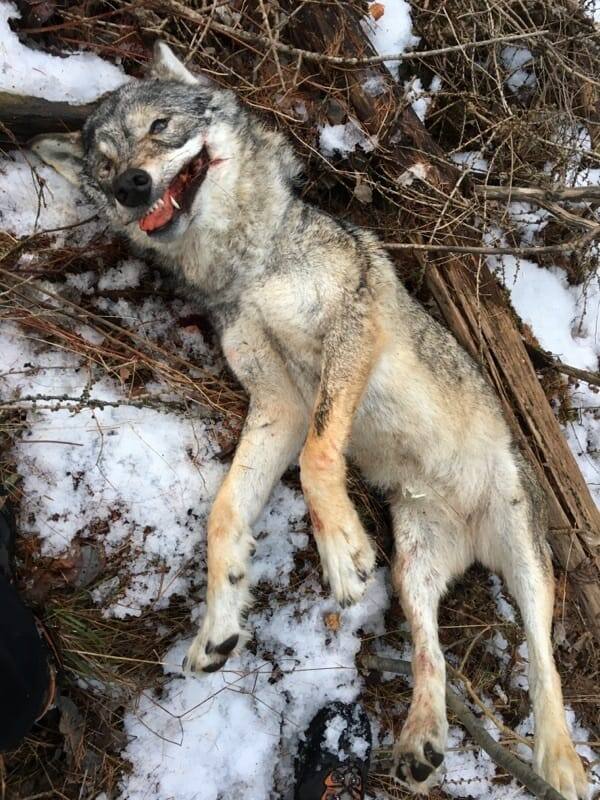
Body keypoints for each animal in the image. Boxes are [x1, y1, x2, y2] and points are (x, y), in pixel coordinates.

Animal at [31, 42, 588, 798]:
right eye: (106, 167)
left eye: (161, 128)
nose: (132, 188)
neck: (247, 267)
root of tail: (472, 536)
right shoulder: (280, 406)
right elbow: (226, 512)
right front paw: (219, 620)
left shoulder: (348, 336)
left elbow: (318, 458)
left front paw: (340, 550)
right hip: (413, 573)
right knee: (431, 655)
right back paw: (419, 739)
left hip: (526, 562)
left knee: (543, 661)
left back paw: (559, 763)